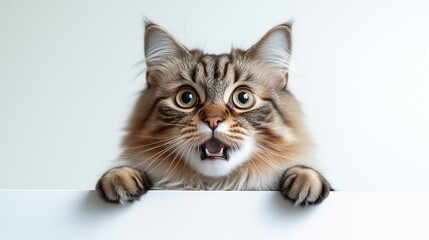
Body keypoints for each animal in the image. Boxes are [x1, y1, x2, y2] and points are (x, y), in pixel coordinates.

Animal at [96, 21, 332, 207]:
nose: (213, 120)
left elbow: (309, 174)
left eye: (243, 98)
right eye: (186, 98)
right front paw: (119, 177)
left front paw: (305, 179)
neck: (215, 187)